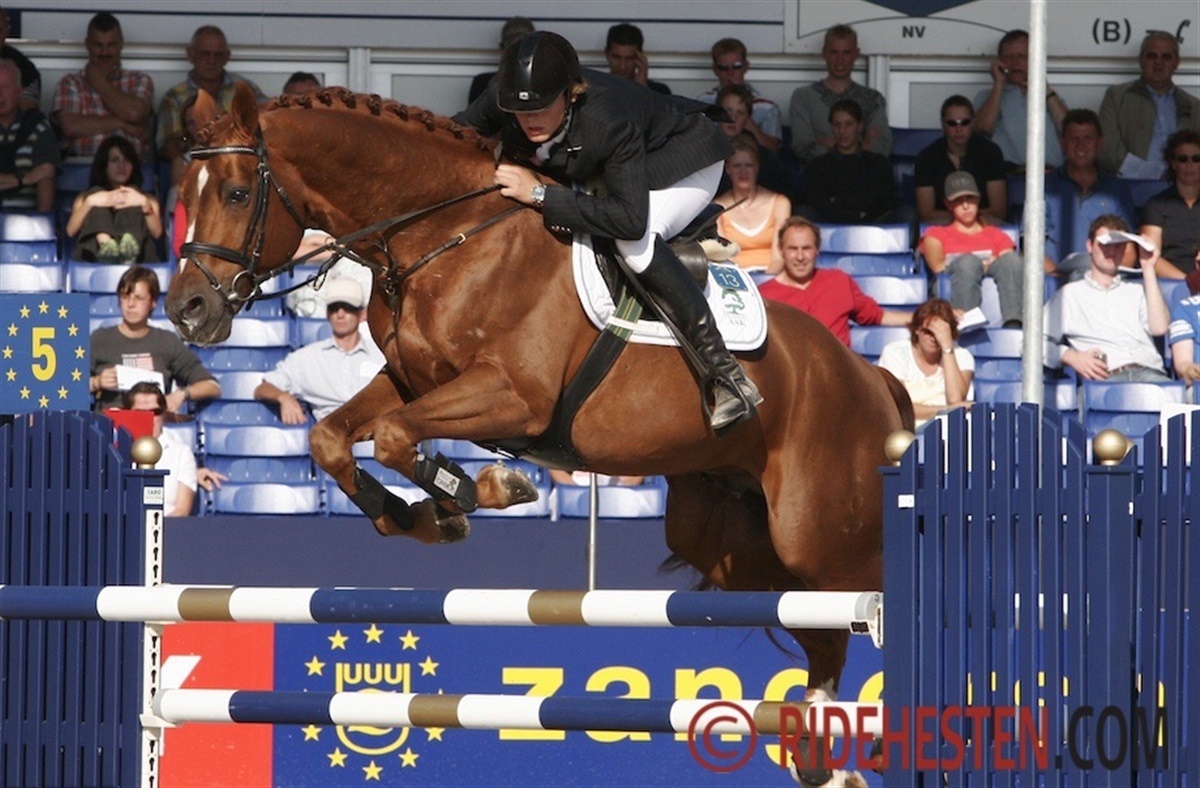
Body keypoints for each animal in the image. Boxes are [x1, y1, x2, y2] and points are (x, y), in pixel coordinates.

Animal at [167, 84, 913, 761]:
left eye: (237, 194)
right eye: (183, 192)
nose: (187, 310)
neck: (441, 237)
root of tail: (869, 377)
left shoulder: (512, 397)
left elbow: (399, 437)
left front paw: (478, 491)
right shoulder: (409, 383)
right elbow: (333, 439)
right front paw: (418, 515)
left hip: (821, 535)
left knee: (869, 603)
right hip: (736, 541)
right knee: (824, 635)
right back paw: (821, 753)